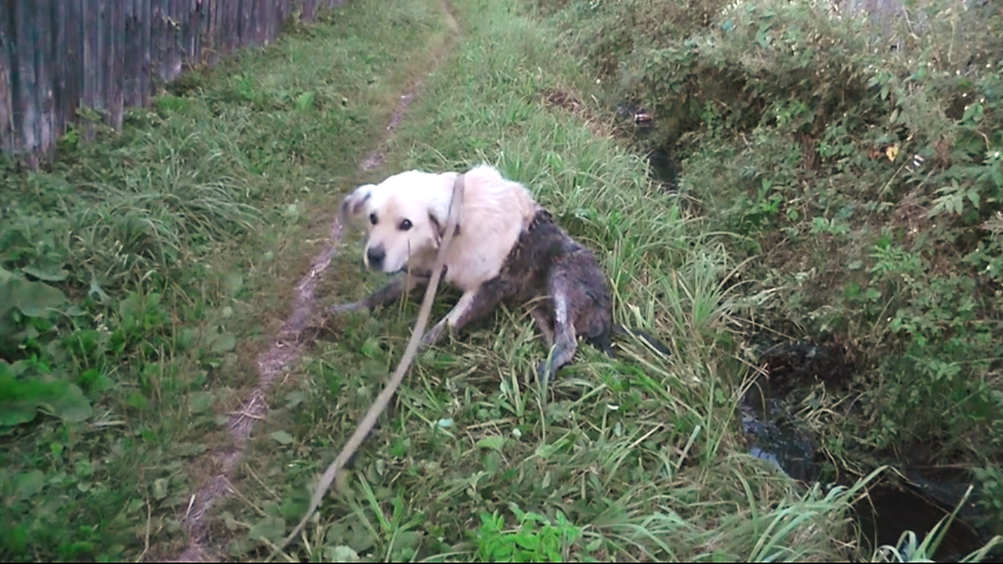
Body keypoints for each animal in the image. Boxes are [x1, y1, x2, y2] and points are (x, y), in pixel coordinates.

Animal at [332, 164, 670, 379]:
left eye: (406, 224)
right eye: (372, 218)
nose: (374, 257)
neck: (457, 223)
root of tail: (607, 319)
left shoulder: (485, 288)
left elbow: (439, 329)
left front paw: (406, 362)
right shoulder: (422, 273)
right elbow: (379, 295)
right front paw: (346, 311)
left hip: (563, 276)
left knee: (568, 343)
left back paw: (543, 374)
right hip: (537, 308)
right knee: (558, 337)